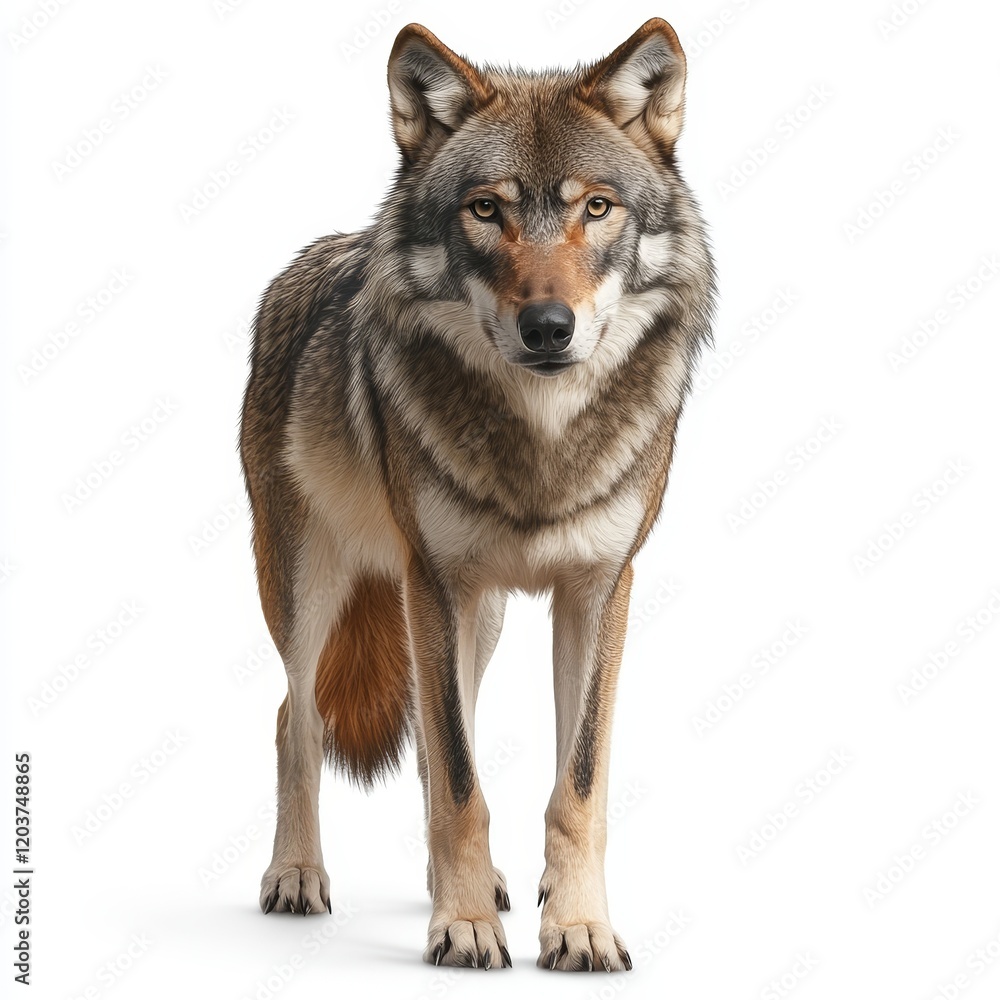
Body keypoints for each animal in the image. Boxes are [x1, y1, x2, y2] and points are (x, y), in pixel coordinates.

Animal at [240, 17, 715, 971]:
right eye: (486, 209)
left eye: (595, 207)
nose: (548, 328)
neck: (540, 443)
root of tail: (313, 256)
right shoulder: (434, 582)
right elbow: (460, 782)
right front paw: (461, 928)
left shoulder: (597, 590)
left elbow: (572, 785)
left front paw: (576, 927)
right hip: (315, 591)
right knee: (295, 719)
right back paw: (298, 876)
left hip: (476, 618)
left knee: (428, 741)